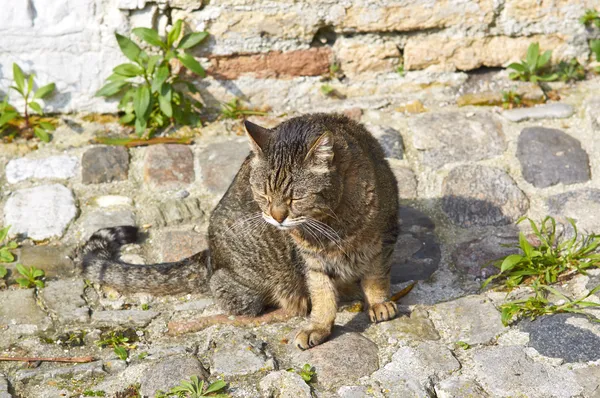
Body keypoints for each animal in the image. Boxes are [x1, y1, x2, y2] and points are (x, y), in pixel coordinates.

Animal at [79, 112, 398, 348]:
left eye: (295, 199)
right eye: (263, 195)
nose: (277, 217)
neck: (333, 223)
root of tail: (209, 255)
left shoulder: (383, 238)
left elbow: (376, 277)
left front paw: (379, 303)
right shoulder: (312, 260)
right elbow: (322, 295)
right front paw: (318, 326)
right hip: (248, 277)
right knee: (239, 303)